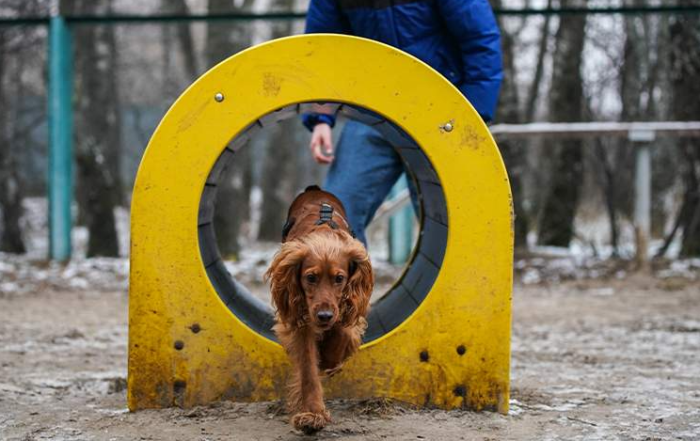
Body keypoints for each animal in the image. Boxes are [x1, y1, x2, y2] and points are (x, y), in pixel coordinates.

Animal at [266, 186, 374, 434]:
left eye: (339, 279)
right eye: (310, 278)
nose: (324, 316)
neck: (325, 238)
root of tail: (315, 190)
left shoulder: (348, 309)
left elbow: (342, 332)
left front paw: (330, 359)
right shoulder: (301, 318)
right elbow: (308, 367)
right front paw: (312, 414)